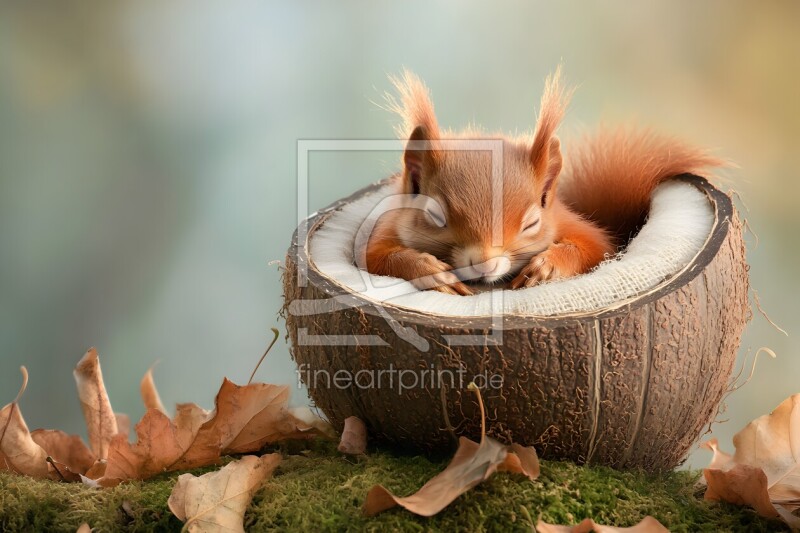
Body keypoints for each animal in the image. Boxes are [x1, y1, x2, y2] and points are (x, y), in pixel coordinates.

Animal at [366, 67, 720, 296]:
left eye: (532, 223)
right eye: (435, 216)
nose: (485, 265)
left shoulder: (571, 225)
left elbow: (595, 248)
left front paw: (546, 266)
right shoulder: (386, 226)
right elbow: (376, 257)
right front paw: (431, 271)